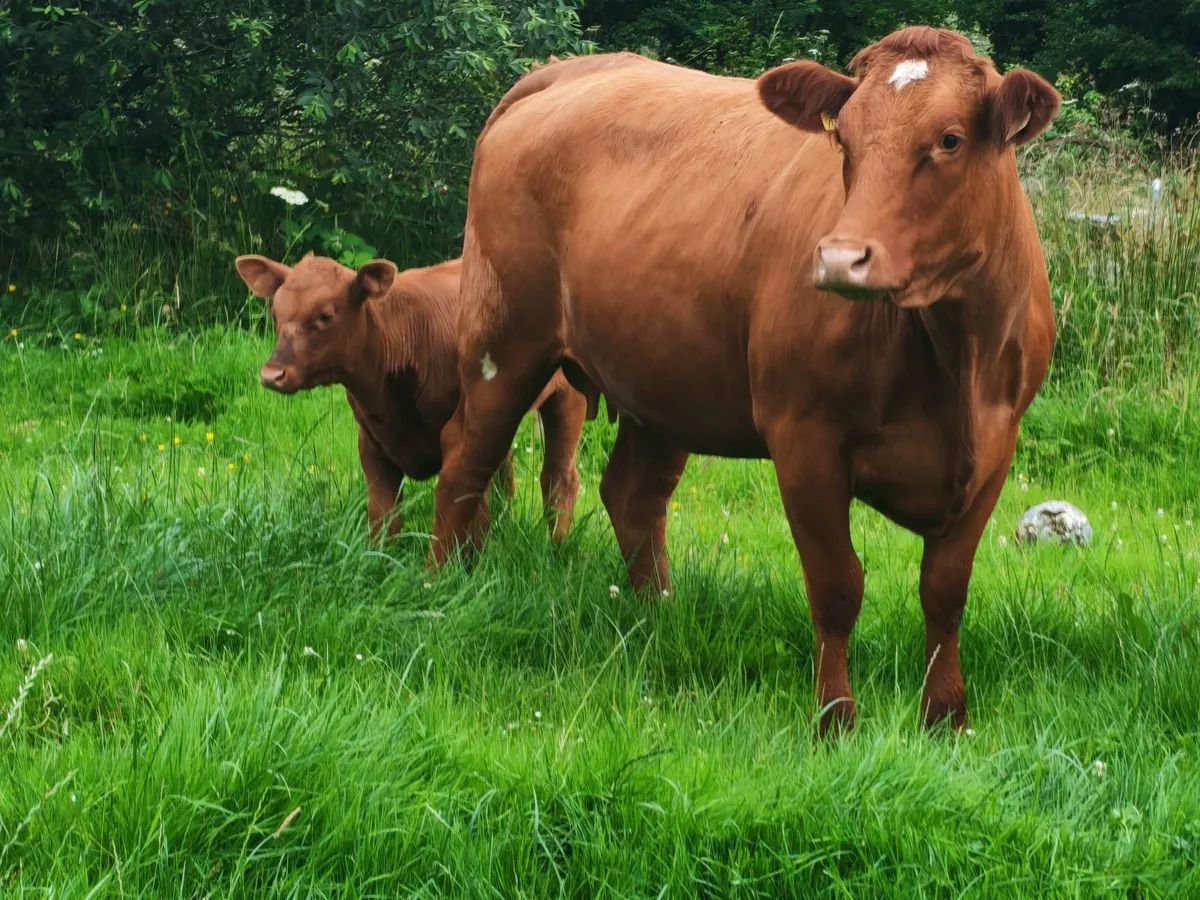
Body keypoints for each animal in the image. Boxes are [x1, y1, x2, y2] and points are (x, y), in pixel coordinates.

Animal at [233, 253, 586, 543]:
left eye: (325, 316)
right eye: (276, 313)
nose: (272, 374)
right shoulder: (373, 443)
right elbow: (384, 518)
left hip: (568, 398)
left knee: (559, 478)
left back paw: (556, 549)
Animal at [428, 26, 1060, 734]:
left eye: (949, 139)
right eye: (843, 139)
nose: (841, 258)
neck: (954, 359)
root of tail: (562, 73)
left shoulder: (995, 449)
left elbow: (945, 590)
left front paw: (945, 718)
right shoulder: (805, 438)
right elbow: (838, 586)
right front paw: (835, 720)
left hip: (664, 377)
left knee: (632, 494)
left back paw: (661, 617)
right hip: (502, 343)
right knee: (464, 463)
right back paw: (438, 585)